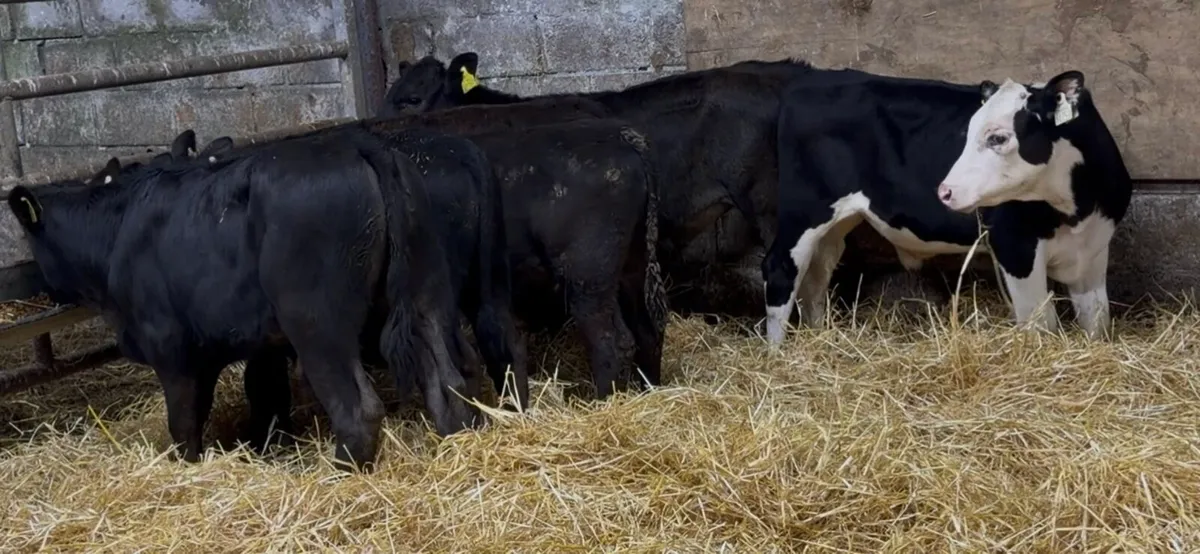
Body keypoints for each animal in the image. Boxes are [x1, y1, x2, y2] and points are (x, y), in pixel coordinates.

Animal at [6, 127, 482, 471]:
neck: (117, 231)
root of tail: (360, 145)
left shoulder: (172, 349)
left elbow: (184, 424)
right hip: (425, 291)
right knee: (448, 381)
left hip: (317, 323)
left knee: (358, 410)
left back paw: (339, 473)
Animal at [763, 68, 1131, 344]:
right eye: (967, 132)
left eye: (998, 137)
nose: (945, 191)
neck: (1075, 208)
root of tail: (811, 79)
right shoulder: (1014, 247)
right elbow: (1039, 324)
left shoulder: (1093, 248)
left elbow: (1097, 319)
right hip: (805, 209)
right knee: (781, 269)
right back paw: (777, 353)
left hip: (835, 220)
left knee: (817, 271)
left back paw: (817, 333)